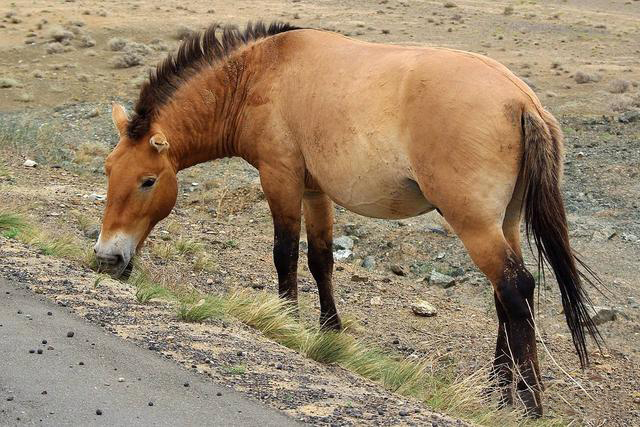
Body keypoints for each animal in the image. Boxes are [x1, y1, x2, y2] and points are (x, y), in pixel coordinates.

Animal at [94, 20, 600, 418]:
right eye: (107, 169)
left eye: (146, 181)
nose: (107, 258)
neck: (259, 75)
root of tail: (521, 100)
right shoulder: (315, 191)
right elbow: (320, 260)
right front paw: (330, 332)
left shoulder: (281, 179)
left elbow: (284, 254)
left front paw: (286, 322)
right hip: (504, 223)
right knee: (507, 296)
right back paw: (497, 391)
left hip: (474, 224)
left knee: (515, 288)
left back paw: (530, 402)